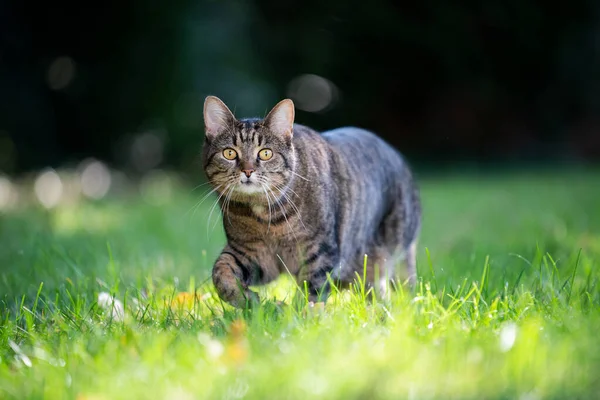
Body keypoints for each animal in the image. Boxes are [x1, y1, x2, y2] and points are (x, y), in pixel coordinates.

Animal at [202, 95, 422, 308]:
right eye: (229, 153)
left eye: (265, 153)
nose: (247, 170)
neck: (266, 218)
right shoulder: (251, 252)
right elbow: (221, 270)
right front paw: (245, 298)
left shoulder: (320, 251)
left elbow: (313, 290)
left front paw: (304, 314)